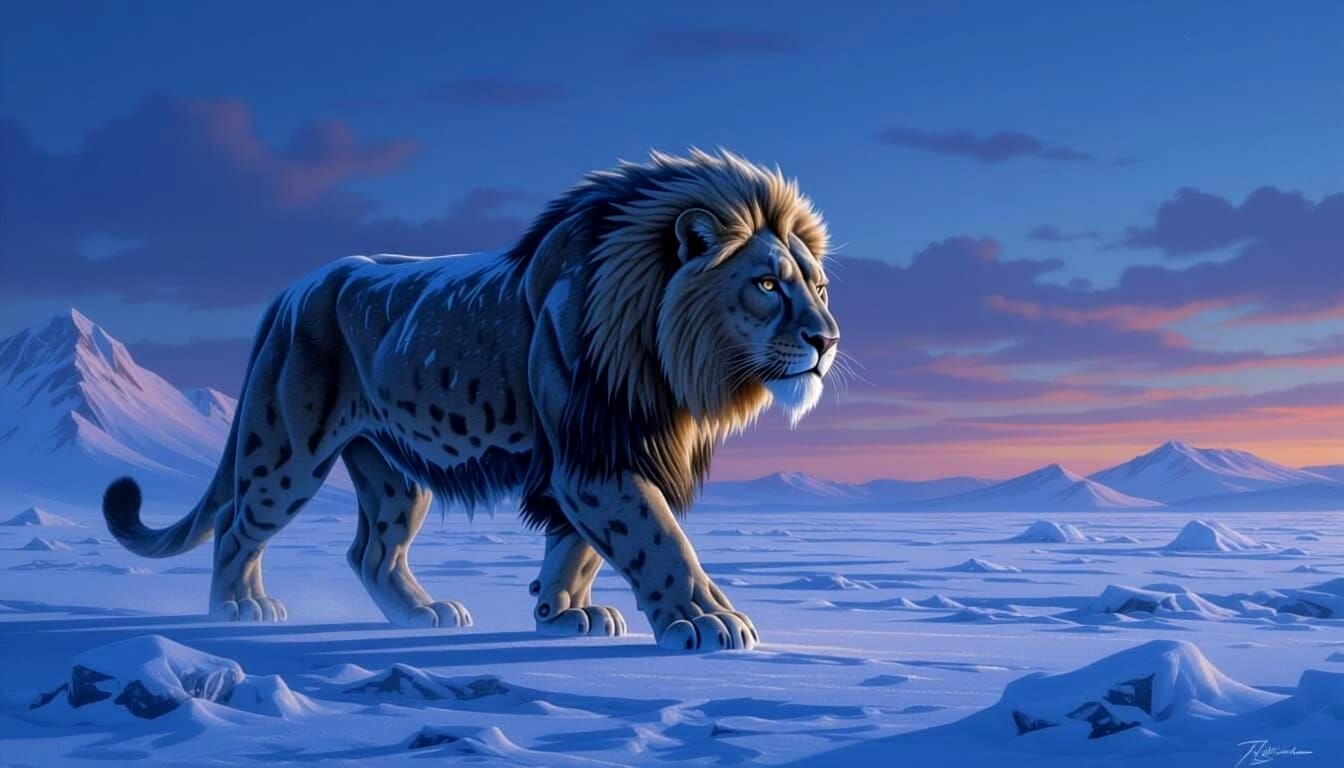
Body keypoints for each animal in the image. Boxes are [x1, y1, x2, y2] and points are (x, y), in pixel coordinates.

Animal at [102, 149, 839, 650]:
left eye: (819, 286)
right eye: (767, 285)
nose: (827, 340)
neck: (670, 359)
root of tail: (290, 290)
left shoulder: (602, 449)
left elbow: (578, 550)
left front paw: (562, 615)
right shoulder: (594, 456)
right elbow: (658, 540)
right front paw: (707, 620)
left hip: (393, 469)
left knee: (370, 552)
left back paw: (421, 616)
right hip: (287, 448)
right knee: (238, 524)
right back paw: (237, 610)